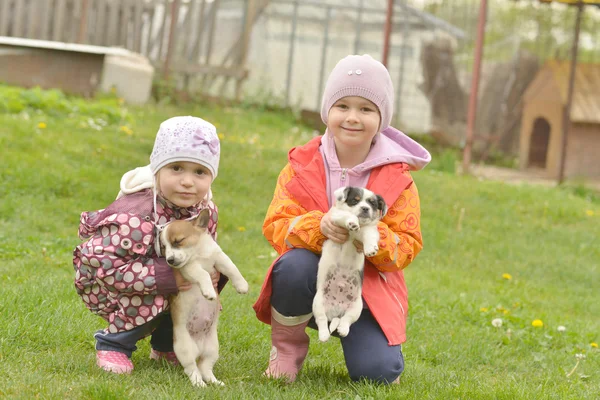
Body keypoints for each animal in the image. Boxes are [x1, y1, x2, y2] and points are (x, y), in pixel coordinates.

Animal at [159, 209, 248, 388]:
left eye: (178, 241)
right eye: (164, 247)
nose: (169, 260)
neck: (199, 253)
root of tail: (199, 347)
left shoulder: (220, 259)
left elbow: (232, 269)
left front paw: (242, 285)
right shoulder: (190, 268)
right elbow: (204, 274)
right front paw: (209, 292)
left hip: (212, 350)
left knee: (205, 368)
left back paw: (216, 382)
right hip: (185, 350)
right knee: (193, 369)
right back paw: (199, 384)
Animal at [312, 186, 386, 342]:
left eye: (372, 204)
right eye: (355, 200)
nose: (365, 208)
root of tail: (336, 311)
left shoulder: (369, 230)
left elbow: (369, 234)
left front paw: (371, 249)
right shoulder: (336, 216)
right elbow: (347, 215)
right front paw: (352, 222)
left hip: (356, 307)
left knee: (345, 320)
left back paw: (343, 329)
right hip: (318, 302)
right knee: (321, 320)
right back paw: (324, 335)